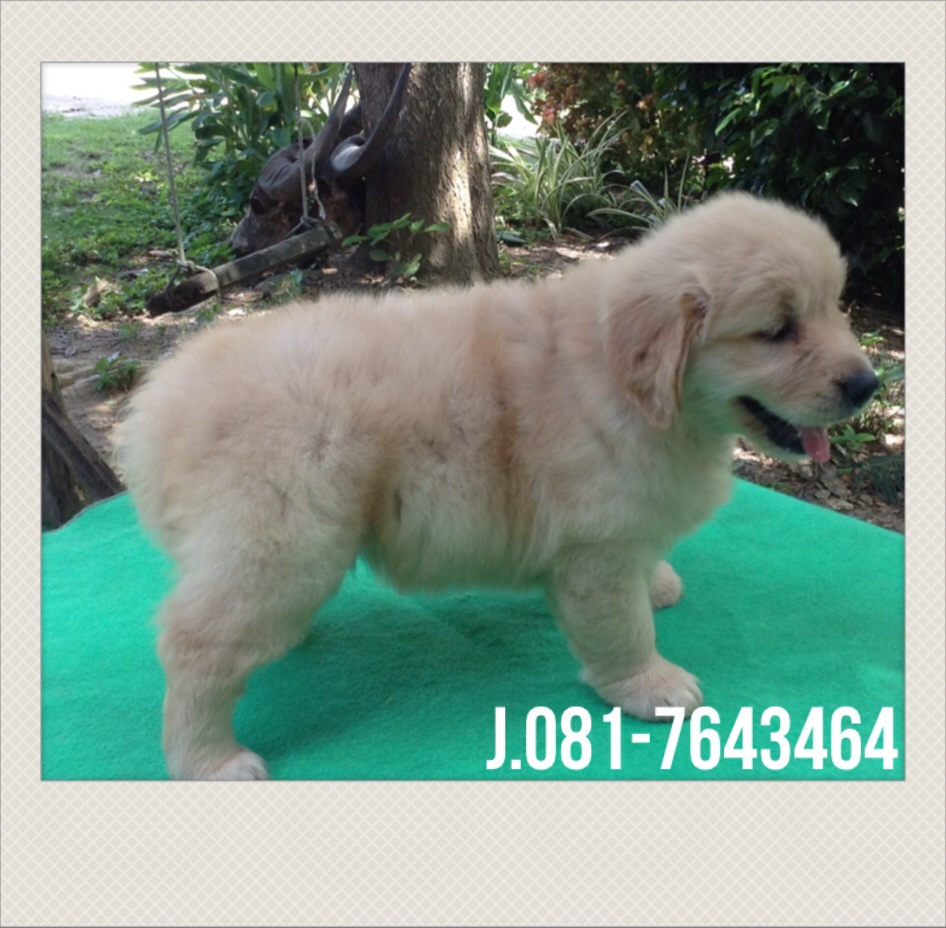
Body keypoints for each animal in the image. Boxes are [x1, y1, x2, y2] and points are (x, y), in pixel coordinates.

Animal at [117, 192, 879, 779]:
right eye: (777, 331)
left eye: (836, 308)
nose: (868, 385)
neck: (629, 391)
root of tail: (166, 401)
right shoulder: (593, 551)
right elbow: (621, 629)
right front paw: (649, 685)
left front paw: (657, 581)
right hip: (283, 537)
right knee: (194, 642)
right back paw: (209, 760)